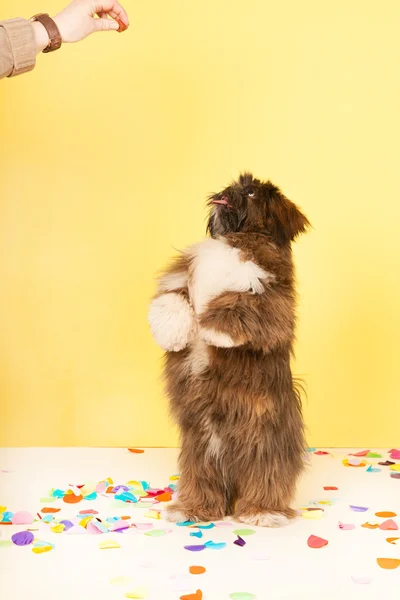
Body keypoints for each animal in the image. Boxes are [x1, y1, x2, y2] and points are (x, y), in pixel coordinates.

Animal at [148, 171, 310, 528]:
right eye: (235, 185)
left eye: (250, 193)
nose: (227, 191)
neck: (237, 239)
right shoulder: (182, 276)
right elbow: (173, 297)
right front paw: (175, 331)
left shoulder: (272, 296)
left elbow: (238, 305)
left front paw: (210, 329)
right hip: (200, 445)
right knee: (205, 481)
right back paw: (193, 509)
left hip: (264, 445)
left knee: (266, 479)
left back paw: (262, 511)